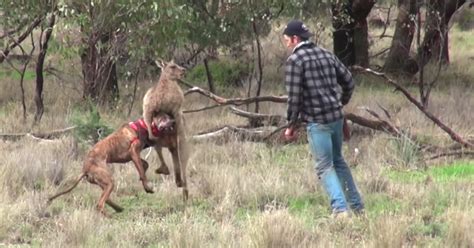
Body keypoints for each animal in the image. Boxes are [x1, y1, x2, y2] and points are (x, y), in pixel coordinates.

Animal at [47, 113, 176, 214]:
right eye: (164, 118)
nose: (174, 121)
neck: (141, 126)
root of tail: (85, 169)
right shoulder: (133, 152)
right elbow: (143, 171)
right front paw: (147, 186)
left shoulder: (132, 156)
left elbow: (145, 165)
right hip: (108, 181)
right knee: (100, 204)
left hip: (104, 182)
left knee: (105, 199)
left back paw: (118, 208)